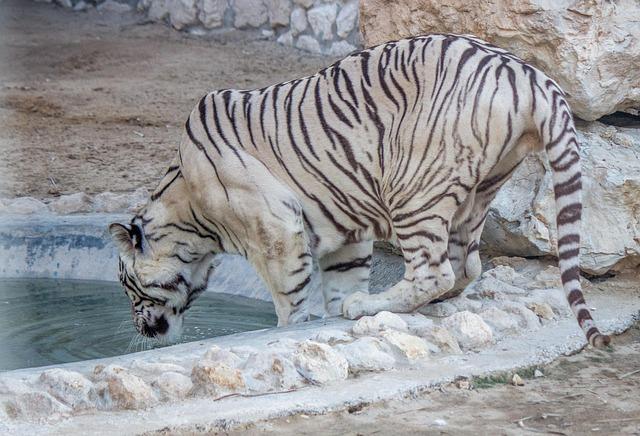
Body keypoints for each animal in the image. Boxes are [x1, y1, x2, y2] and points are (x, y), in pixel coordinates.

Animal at [110, 34, 608, 348]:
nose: (139, 327)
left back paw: (365, 306)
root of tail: (526, 72)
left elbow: (290, 298)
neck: (190, 217)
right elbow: (338, 278)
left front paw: (292, 326)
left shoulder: (276, 228)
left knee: (434, 271)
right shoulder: (342, 230)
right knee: (464, 267)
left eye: (126, 285)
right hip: (478, 192)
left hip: (412, 187)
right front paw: (329, 313)